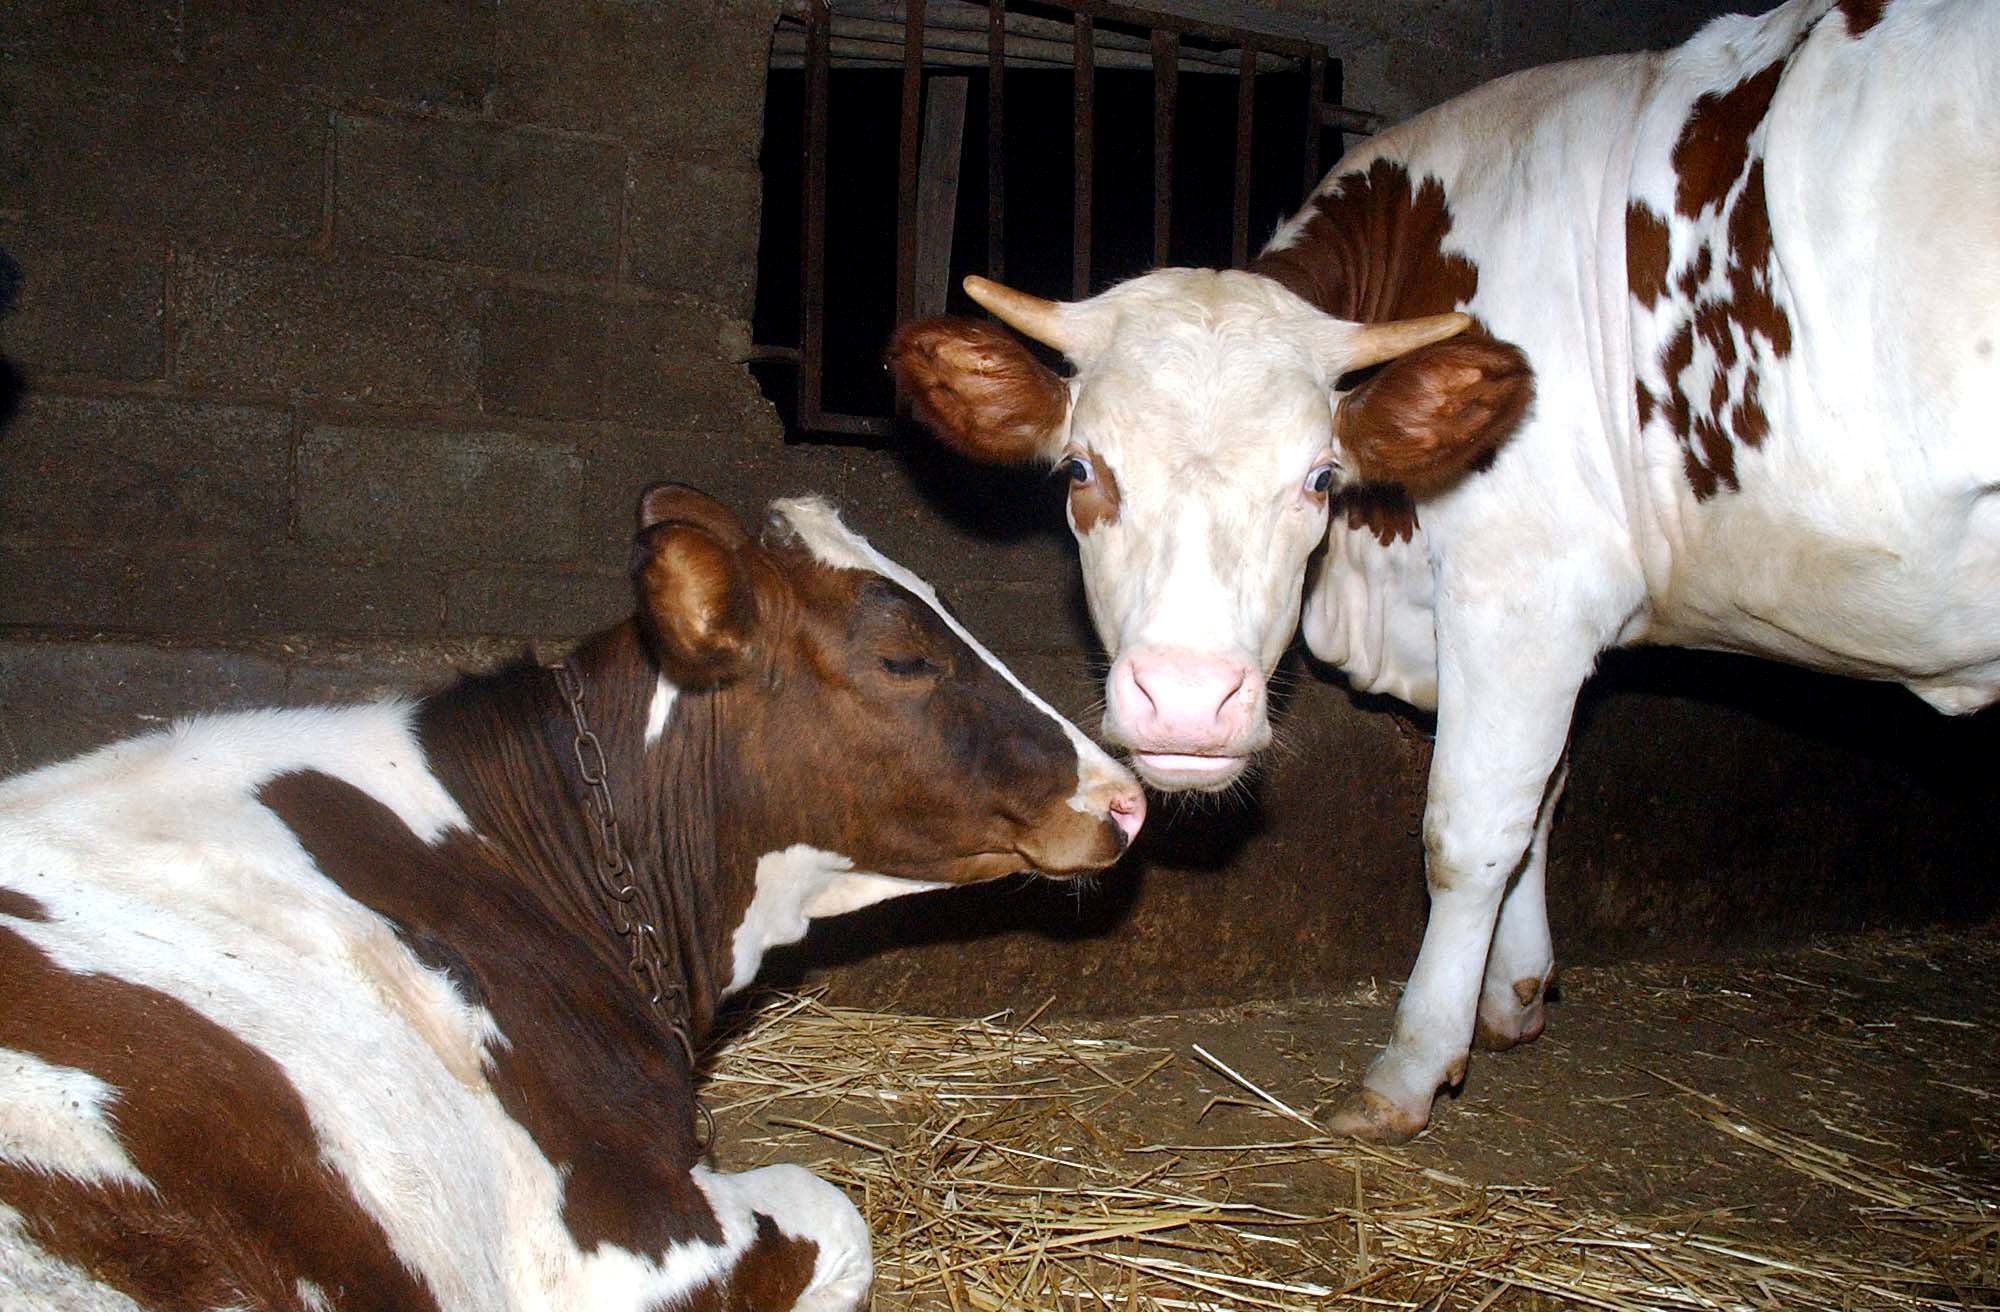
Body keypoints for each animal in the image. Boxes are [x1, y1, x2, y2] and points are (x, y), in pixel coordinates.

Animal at [896, 0, 2000, 1136]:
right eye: (1081, 468)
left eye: (1319, 477)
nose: (1190, 703)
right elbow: (1544, 801)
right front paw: (1512, 993)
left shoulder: (1525, 591)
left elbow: (1469, 831)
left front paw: (1412, 1064)